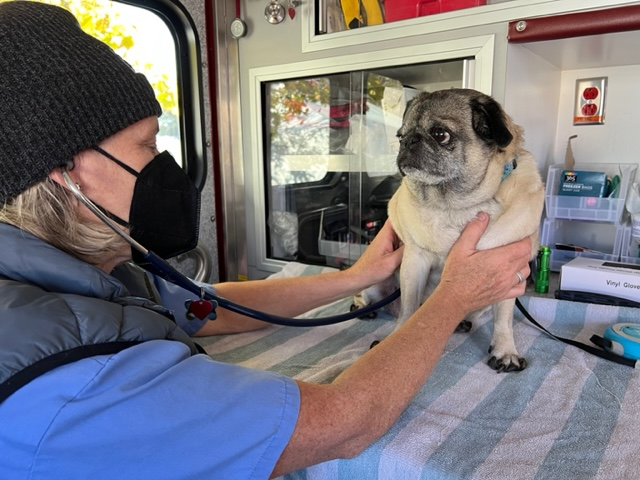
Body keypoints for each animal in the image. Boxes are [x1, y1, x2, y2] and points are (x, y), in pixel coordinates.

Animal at [356, 88, 544, 374]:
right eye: (400, 136)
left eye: (440, 134)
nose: (407, 141)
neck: (456, 206)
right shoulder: (414, 261)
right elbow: (409, 308)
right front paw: (398, 334)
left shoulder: (509, 273)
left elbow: (503, 319)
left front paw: (505, 350)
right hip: (377, 277)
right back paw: (363, 307)